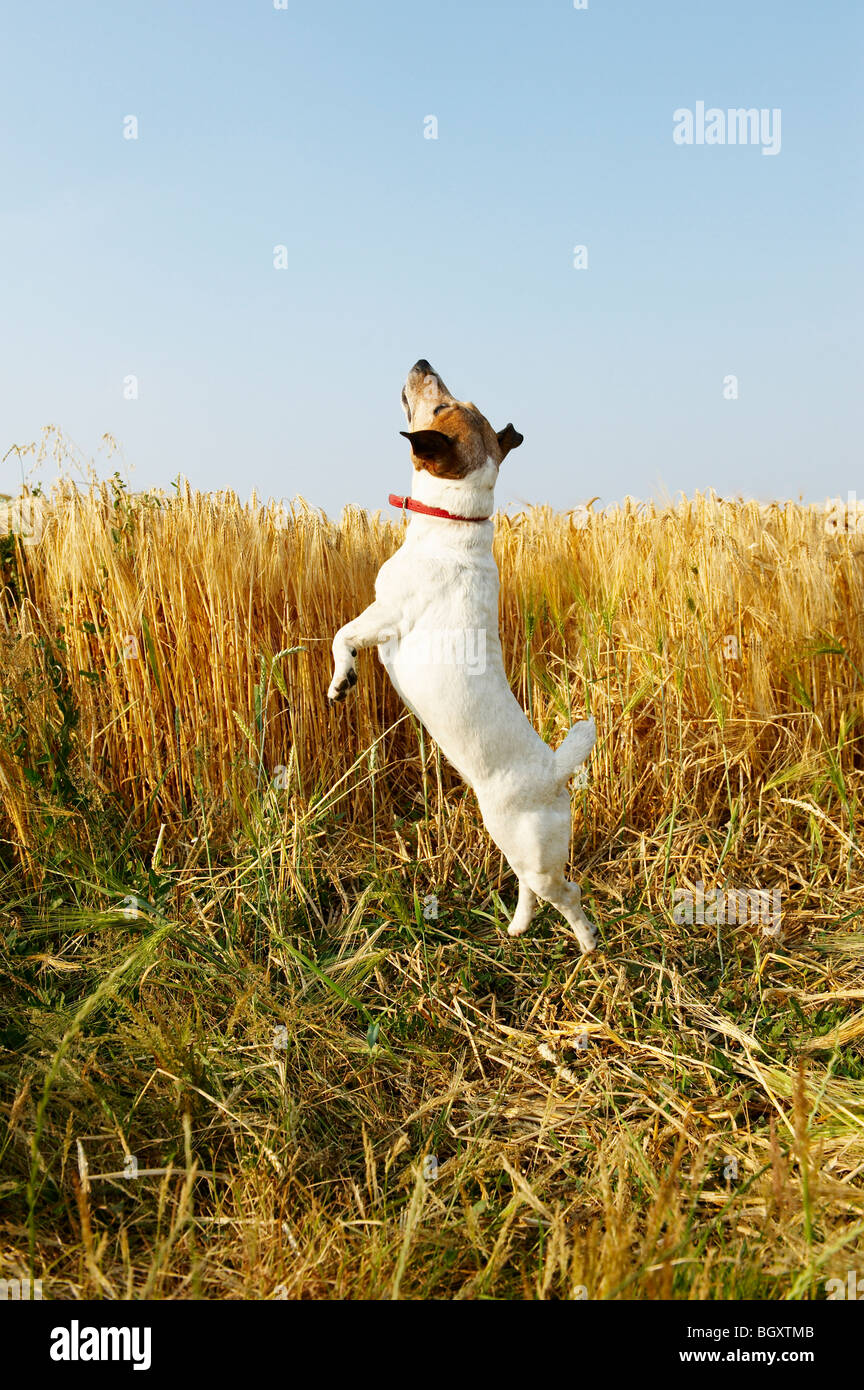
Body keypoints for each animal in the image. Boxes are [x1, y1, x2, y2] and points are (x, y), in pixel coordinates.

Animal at [327, 355, 600, 956]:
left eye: (442, 405)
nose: (422, 360)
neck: (454, 524)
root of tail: (554, 774)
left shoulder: (385, 616)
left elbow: (341, 638)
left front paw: (342, 680)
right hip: (513, 844)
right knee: (529, 888)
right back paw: (518, 926)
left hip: (534, 853)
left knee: (566, 895)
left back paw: (589, 945)